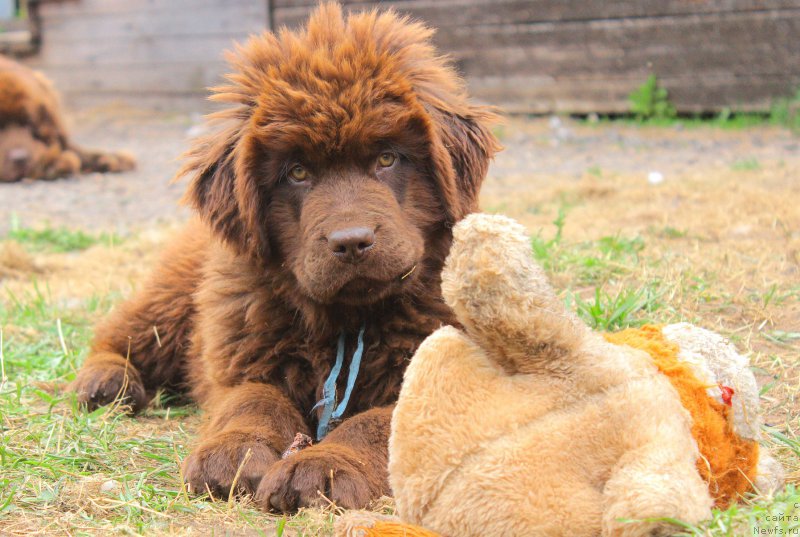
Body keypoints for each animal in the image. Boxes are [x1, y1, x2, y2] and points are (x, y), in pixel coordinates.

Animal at [69, 1, 496, 510]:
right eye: (297, 172)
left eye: (387, 159)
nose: (351, 241)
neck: (346, 322)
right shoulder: (240, 356)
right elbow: (254, 400)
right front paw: (233, 453)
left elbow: (379, 423)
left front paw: (323, 467)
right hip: (172, 299)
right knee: (121, 334)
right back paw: (106, 382)